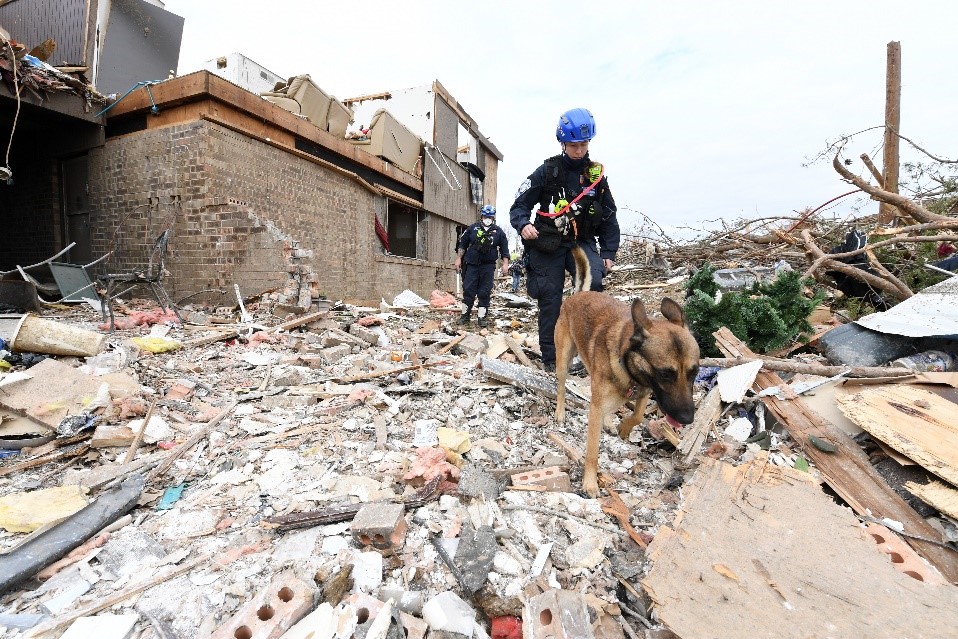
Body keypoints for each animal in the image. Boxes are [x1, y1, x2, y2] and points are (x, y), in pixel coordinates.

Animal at [556, 248, 696, 498]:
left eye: (694, 372)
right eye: (665, 374)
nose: (687, 419)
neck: (627, 360)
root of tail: (578, 295)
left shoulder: (644, 391)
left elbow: (638, 415)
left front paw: (623, 427)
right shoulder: (598, 405)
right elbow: (592, 451)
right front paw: (589, 483)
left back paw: (610, 421)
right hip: (563, 361)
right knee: (562, 386)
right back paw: (560, 413)